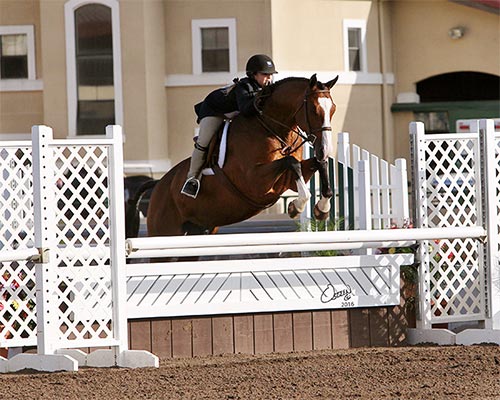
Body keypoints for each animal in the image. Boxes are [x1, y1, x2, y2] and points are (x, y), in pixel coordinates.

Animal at [126, 74, 340, 238]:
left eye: (333, 109)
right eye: (313, 109)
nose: (325, 148)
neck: (273, 128)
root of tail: (159, 185)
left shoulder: (288, 179)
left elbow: (317, 164)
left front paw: (322, 208)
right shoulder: (255, 182)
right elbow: (291, 162)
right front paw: (296, 207)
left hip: (196, 233)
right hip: (165, 231)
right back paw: (191, 185)